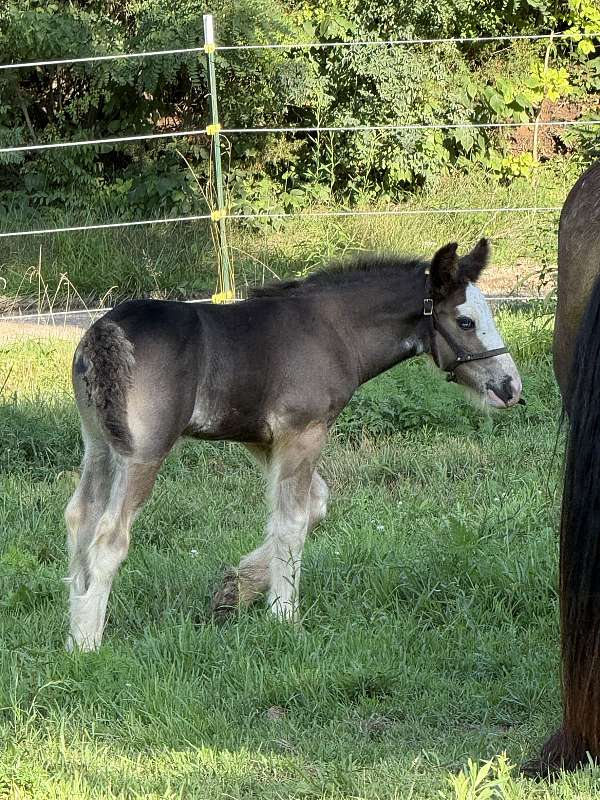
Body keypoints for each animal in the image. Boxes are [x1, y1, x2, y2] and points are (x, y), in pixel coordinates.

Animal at [64, 238, 522, 651]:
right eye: (465, 321)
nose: (509, 388)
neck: (334, 330)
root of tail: (105, 330)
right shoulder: (304, 432)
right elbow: (292, 521)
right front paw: (284, 614)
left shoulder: (264, 441)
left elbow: (312, 506)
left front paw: (235, 590)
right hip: (143, 453)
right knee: (109, 536)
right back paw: (87, 643)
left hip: (99, 445)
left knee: (80, 517)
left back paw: (73, 624)